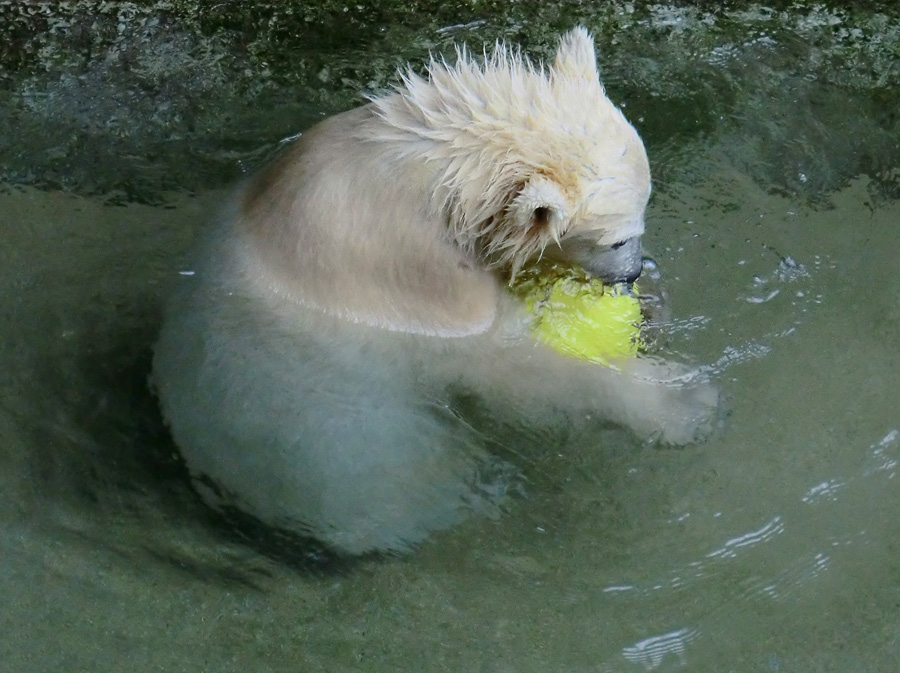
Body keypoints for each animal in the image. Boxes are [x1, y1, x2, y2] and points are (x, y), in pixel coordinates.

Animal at [153, 28, 716, 552]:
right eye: (616, 237)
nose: (632, 272)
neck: (432, 175)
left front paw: (653, 304)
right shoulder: (415, 275)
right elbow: (507, 364)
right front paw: (685, 403)